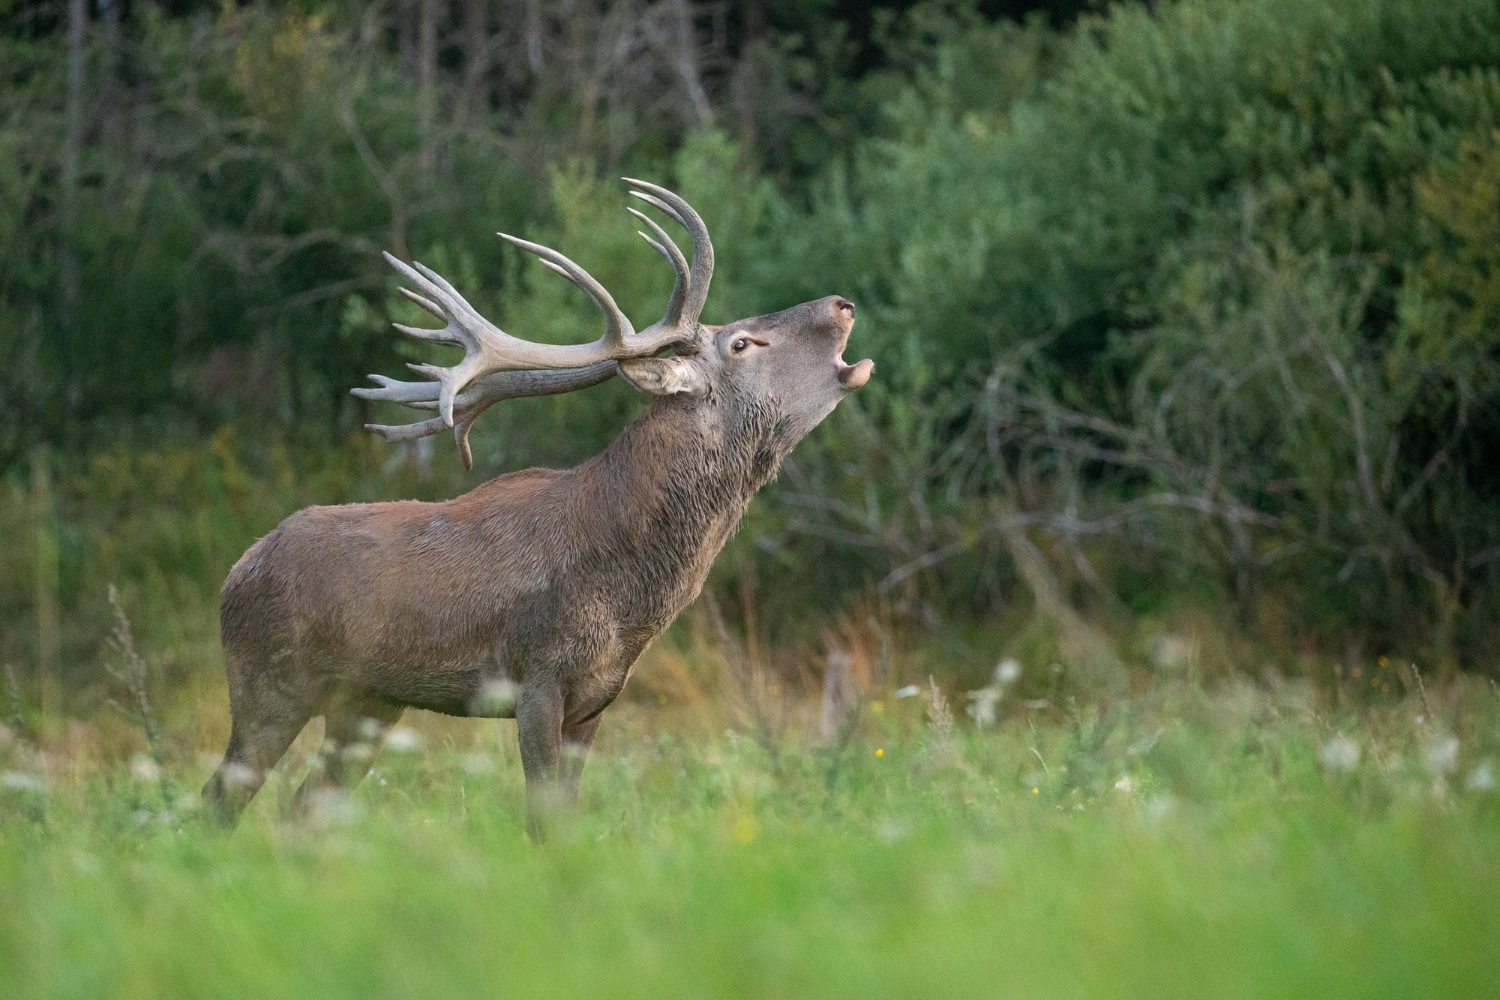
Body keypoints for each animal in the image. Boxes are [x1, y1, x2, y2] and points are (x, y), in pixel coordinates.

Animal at [202, 180, 873, 836]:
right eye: (741, 342)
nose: (842, 303)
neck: (628, 599)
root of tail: (235, 570)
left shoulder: (596, 700)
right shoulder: (536, 677)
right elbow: (541, 820)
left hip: (366, 703)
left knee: (304, 807)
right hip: (269, 681)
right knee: (220, 798)